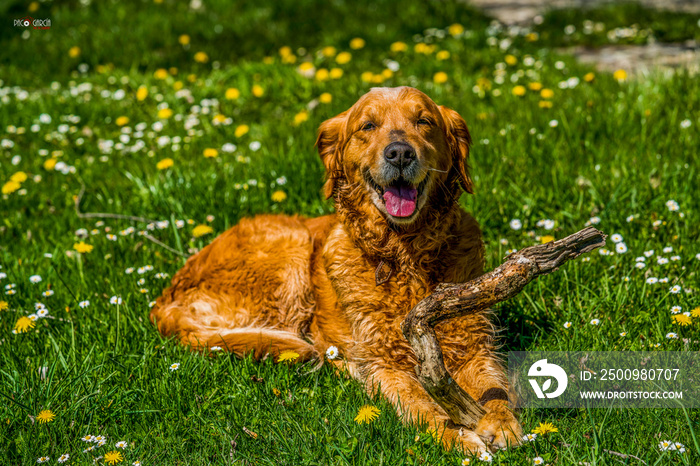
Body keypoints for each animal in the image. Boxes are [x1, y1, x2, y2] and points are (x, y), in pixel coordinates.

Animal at [150, 85, 524, 454]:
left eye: (423, 121)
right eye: (368, 126)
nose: (400, 154)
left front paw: (500, 423)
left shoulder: (475, 344)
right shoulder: (382, 362)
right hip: (293, 251)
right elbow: (419, 403)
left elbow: (494, 387)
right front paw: (456, 435)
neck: (404, 255)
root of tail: (165, 297)